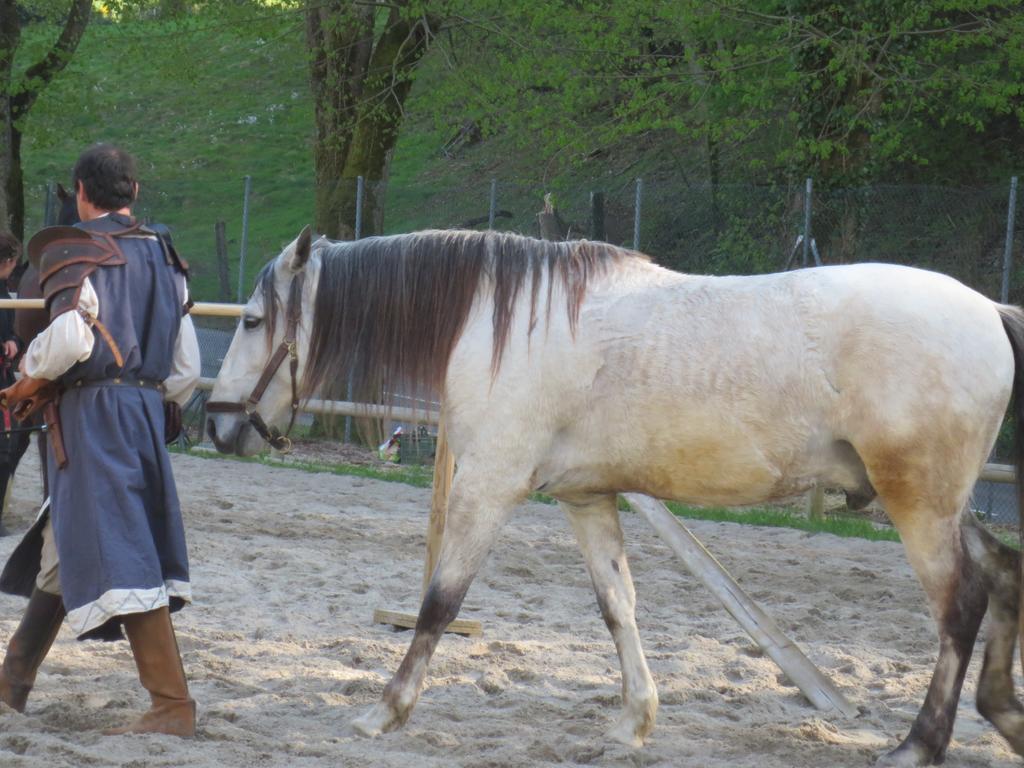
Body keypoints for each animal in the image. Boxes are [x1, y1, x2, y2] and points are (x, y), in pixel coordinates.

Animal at [205, 228, 1024, 768]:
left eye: (252, 320)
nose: (216, 425)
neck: (502, 328)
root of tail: (987, 309)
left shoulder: (489, 483)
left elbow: (440, 601)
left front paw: (384, 710)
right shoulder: (588, 499)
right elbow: (617, 608)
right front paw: (634, 722)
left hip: (918, 506)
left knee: (960, 605)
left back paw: (919, 744)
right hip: (943, 507)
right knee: (1002, 574)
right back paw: (1000, 713)